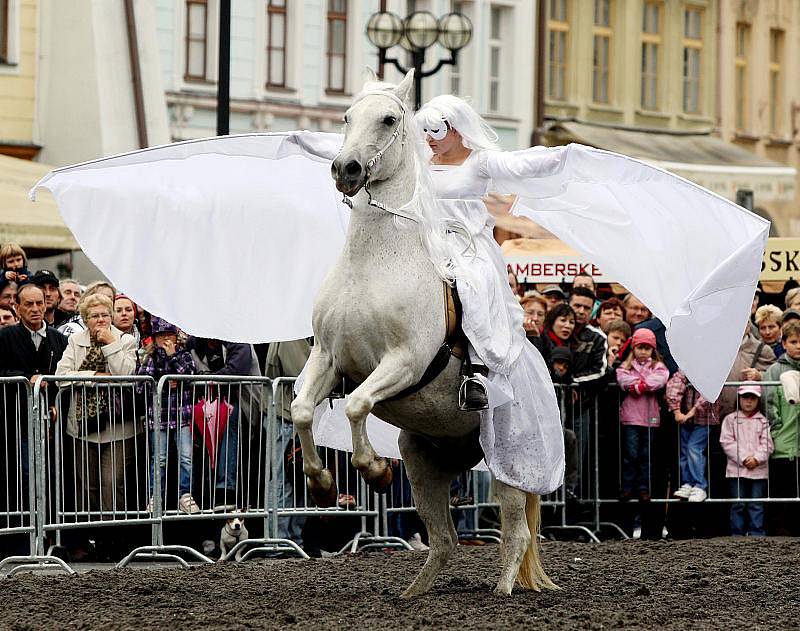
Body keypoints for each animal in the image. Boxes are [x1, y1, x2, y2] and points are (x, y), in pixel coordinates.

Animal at [290, 71, 560, 600]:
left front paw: (374, 469)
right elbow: (302, 409)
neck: (375, 264)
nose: (346, 169)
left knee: (516, 531)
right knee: (445, 538)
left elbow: (357, 405)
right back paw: (413, 593)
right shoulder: (328, 359)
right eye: (346, 116)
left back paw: (502, 590)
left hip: (509, 469)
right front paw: (321, 482)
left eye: (388, 119)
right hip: (424, 463)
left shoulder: (403, 361)